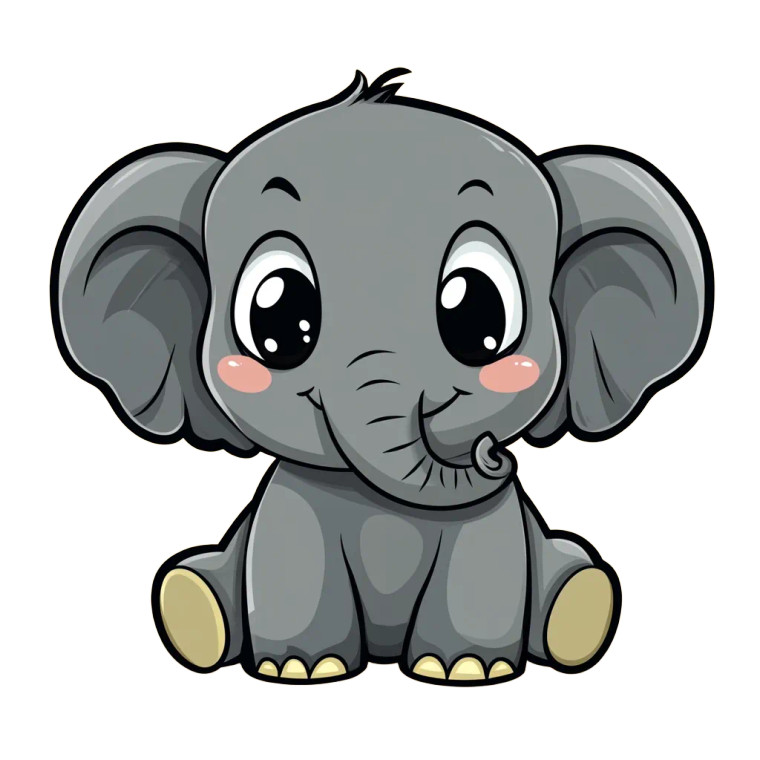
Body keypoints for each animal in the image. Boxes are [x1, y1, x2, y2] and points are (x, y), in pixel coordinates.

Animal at [51, 69, 712, 685]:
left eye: (479, 313)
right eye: (277, 317)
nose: (494, 452)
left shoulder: (489, 524)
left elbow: (483, 564)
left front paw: (463, 669)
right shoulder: (293, 504)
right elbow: (292, 561)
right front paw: (301, 670)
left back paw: (582, 607)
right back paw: (191, 607)